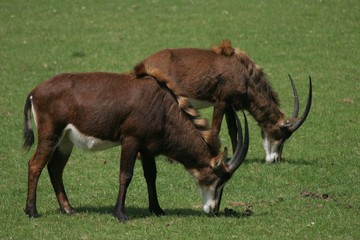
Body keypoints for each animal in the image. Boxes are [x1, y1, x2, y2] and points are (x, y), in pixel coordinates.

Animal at [21, 71, 248, 221]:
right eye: (219, 180)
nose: (214, 209)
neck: (162, 107)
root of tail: (34, 92)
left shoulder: (147, 148)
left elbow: (151, 176)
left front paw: (157, 209)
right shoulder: (131, 140)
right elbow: (126, 175)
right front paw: (121, 214)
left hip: (66, 141)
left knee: (55, 168)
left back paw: (68, 209)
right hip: (50, 135)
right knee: (35, 165)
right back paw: (32, 211)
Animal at [135, 39, 312, 163]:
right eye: (280, 134)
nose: (275, 160)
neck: (242, 72)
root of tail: (143, 65)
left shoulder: (229, 104)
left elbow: (233, 130)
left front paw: (236, 156)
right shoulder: (220, 102)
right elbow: (215, 129)